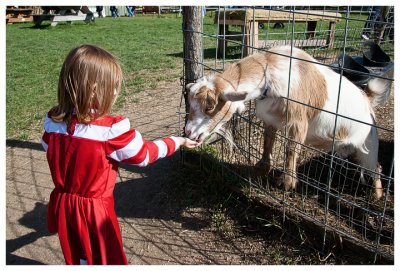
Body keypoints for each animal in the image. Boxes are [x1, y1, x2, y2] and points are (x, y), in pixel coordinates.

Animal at [186, 45, 392, 200]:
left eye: (210, 105)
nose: (188, 132)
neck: (270, 73)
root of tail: (367, 100)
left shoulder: (298, 121)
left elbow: (291, 148)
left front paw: (287, 182)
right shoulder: (271, 119)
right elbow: (268, 142)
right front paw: (262, 167)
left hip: (369, 144)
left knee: (376, 167)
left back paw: (377, 195)